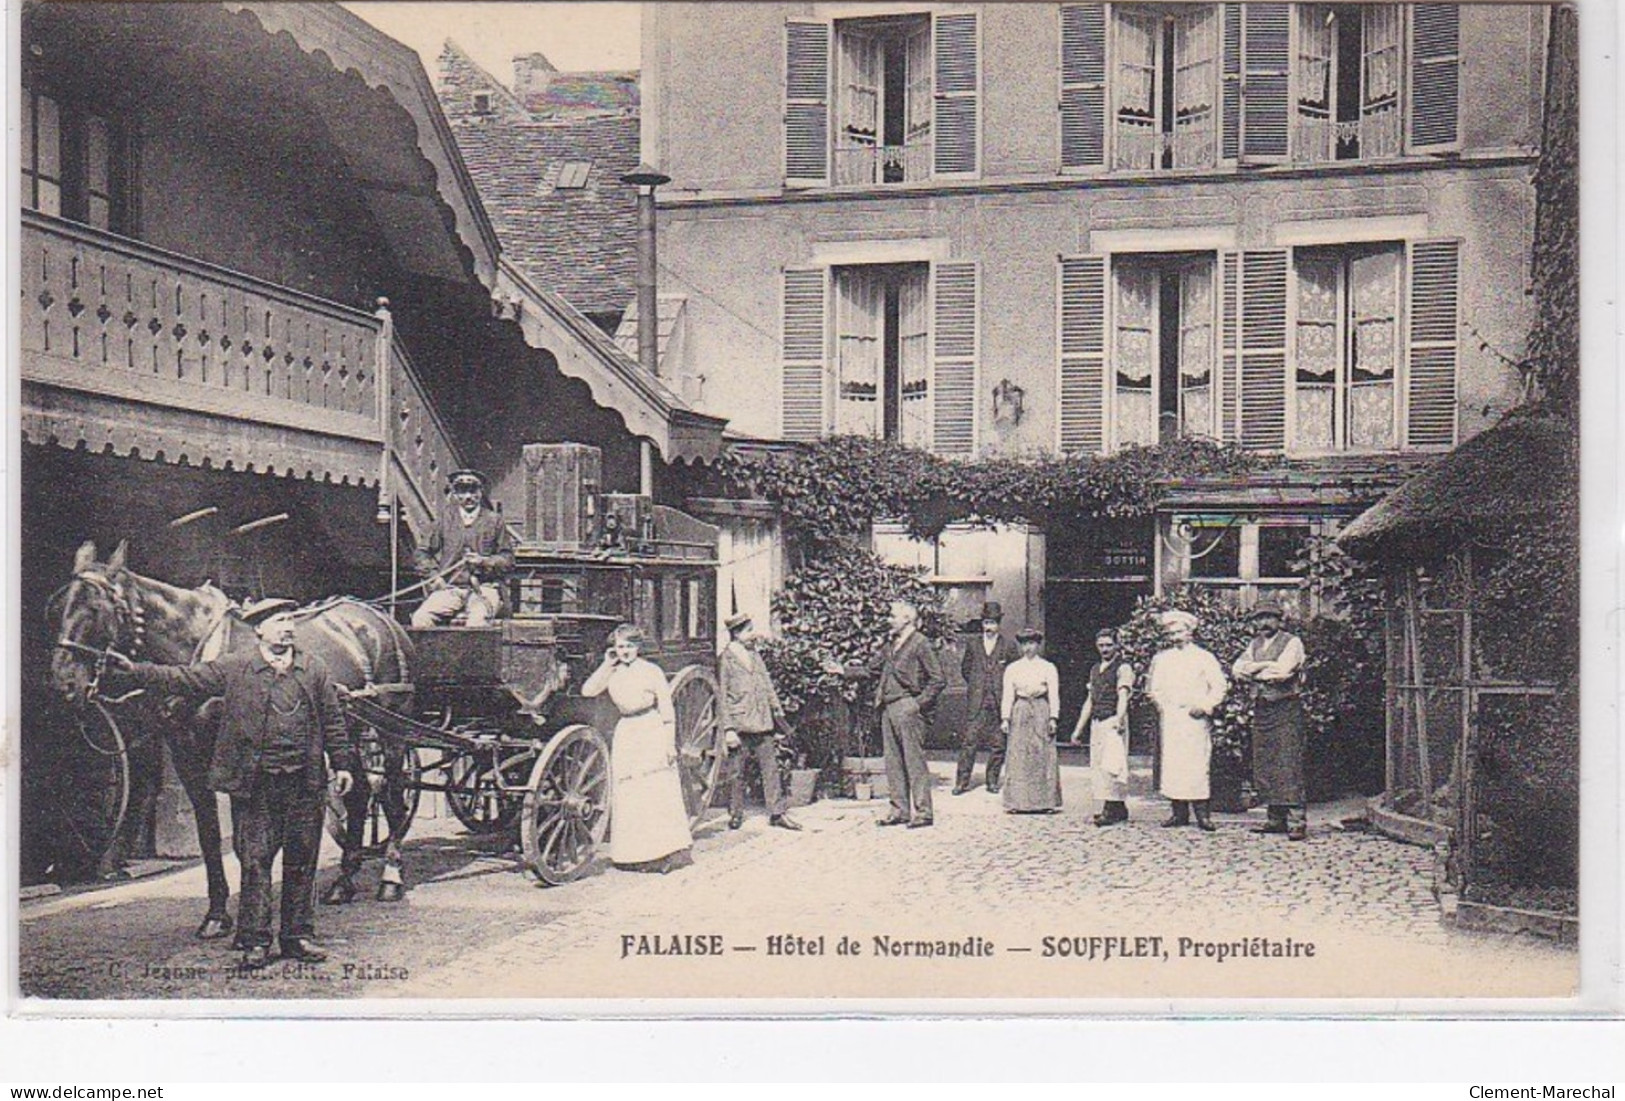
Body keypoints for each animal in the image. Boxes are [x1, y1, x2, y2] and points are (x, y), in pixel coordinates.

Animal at [50, 542, 419, 941]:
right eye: (59, 606)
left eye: (95, 608)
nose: (63, 682)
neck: (195, 646)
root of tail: (379, 616)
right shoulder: (189, 758)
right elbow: (211, 835)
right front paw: (217, 914)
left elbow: (248, 840)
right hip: (348, 728)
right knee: (361, 793)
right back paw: (344, 881)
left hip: (393, 729)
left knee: (393, 796)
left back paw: (391, 878)